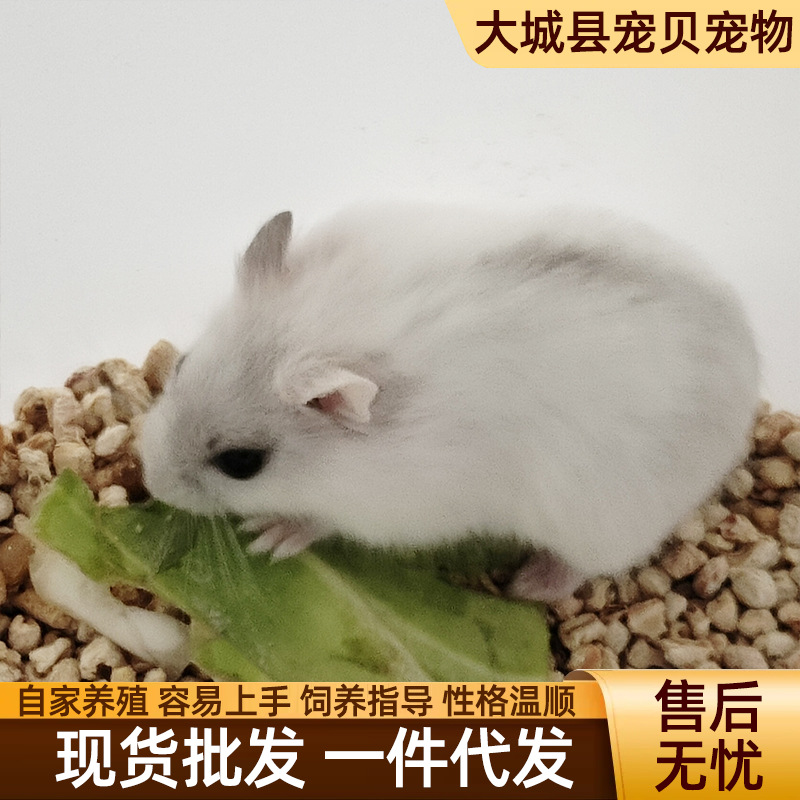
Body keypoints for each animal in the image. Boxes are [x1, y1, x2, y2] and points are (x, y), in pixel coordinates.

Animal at [139, 204, 760, 602]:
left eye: (242, 464)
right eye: (182, 364)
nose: (150, 482)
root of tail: (750, 371)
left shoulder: (397, 508)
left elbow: (319, 519)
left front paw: (269, 537)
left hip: (603, 522)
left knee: (582, 566)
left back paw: (527, 587)